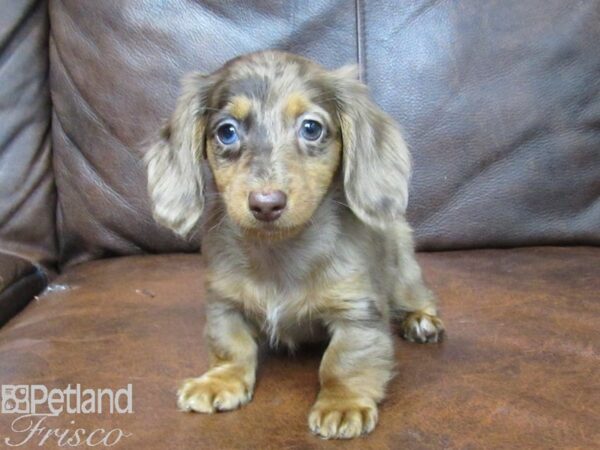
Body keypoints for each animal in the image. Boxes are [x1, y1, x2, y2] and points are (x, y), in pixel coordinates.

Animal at [146, 50, 446, 440]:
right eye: (226, 131)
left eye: (311, 127)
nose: (266, 203)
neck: (279, 252)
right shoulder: (223, 302)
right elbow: (231, 346)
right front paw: (219, 381)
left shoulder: (357, 313)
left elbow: (342, 362)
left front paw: (342, 403)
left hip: (403, 271)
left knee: (417, 296)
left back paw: (422, 320)